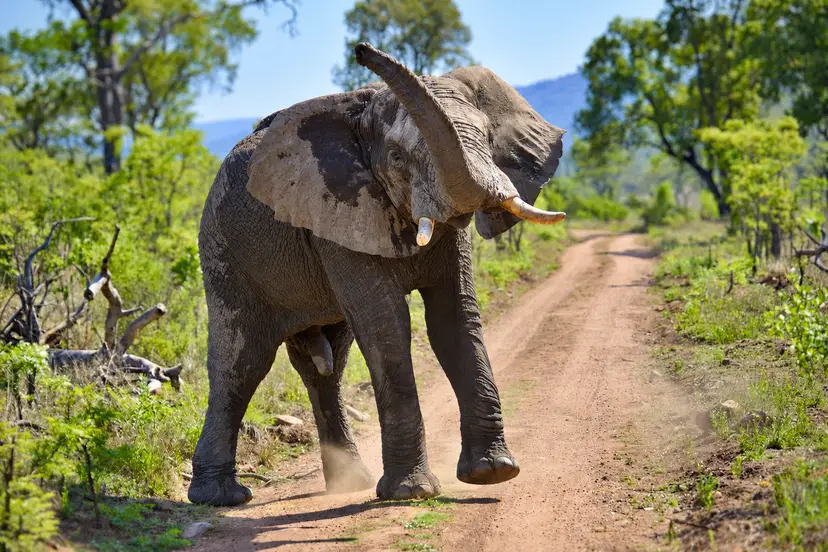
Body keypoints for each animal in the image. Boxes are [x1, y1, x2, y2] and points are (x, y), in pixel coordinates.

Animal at [188, 43, 567, 507]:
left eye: (487, 139)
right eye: (398, 158)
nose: (361, 49)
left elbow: (454, 320)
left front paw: (493, 472)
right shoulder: (335, 207)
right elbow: (386, 326)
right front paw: (411, 492)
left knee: (327, 365)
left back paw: (352, 482)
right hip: (225, 253)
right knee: (242, 364)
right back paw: (221, 497)